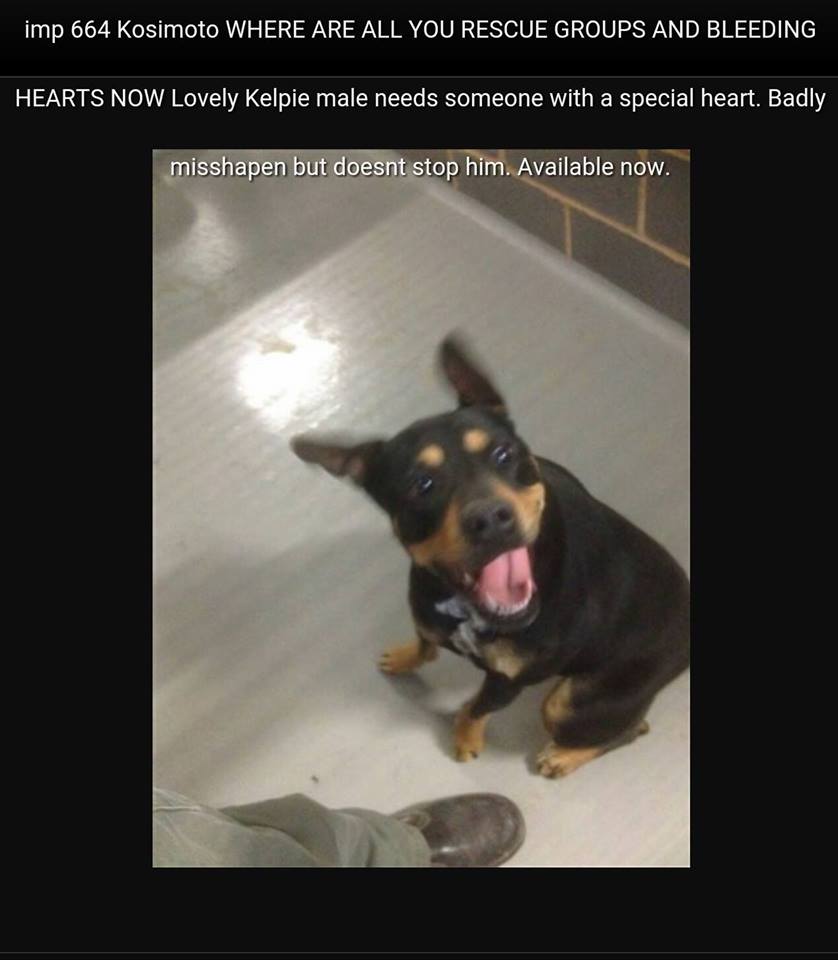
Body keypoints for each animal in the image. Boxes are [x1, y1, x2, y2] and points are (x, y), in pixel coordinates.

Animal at [291, 336, 689, 777]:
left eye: (503, 455)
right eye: (421, 484)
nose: (490, 518)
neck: (466, 606)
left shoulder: (507, 683)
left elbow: (475, 709)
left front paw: (466, 738)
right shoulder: (428, 617)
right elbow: (425, 644)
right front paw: (407, 656)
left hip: (572, 700)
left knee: (629, 729)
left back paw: (563, 756)